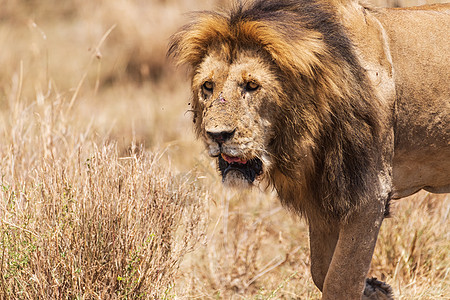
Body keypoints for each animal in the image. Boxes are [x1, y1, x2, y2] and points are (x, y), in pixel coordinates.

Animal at [167, 1, 448, 298]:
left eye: (252, 85)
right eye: (208, 86)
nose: (217, 135)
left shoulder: (370, 193)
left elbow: (339, 280)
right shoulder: (321, 198)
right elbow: (322, 271)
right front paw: (375, 289)